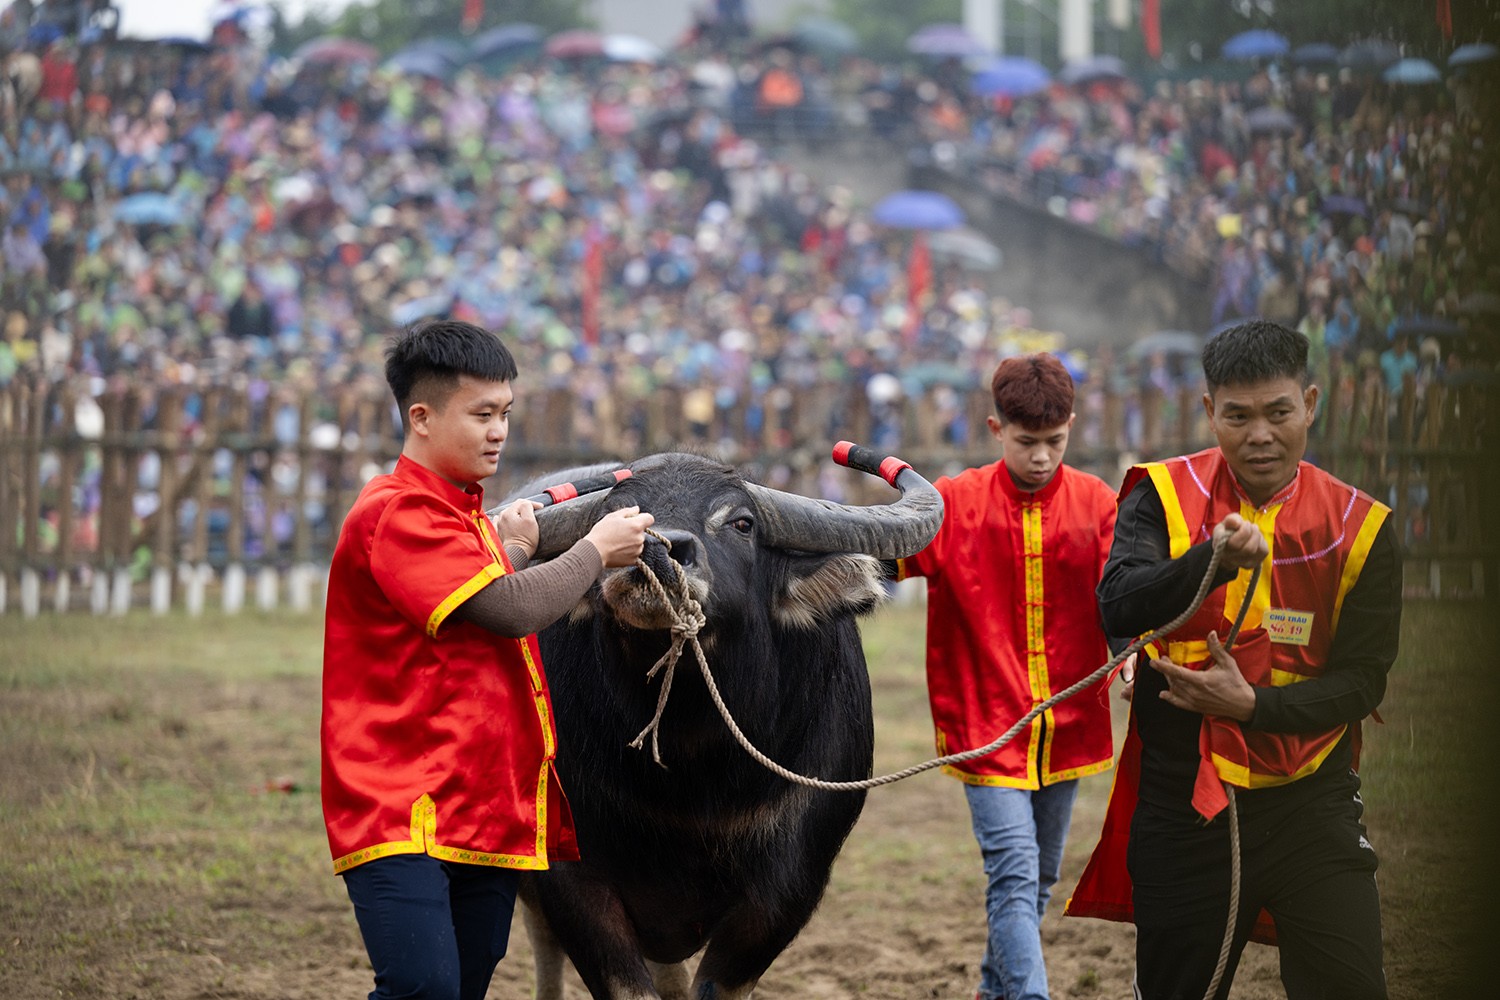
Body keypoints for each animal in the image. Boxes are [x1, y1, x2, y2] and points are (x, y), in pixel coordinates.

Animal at [498, 452, 942, 1000]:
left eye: (742, 523)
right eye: (612, 517)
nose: (659, 548)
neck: (694, 772)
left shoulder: (787, 891)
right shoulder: (573, 879)